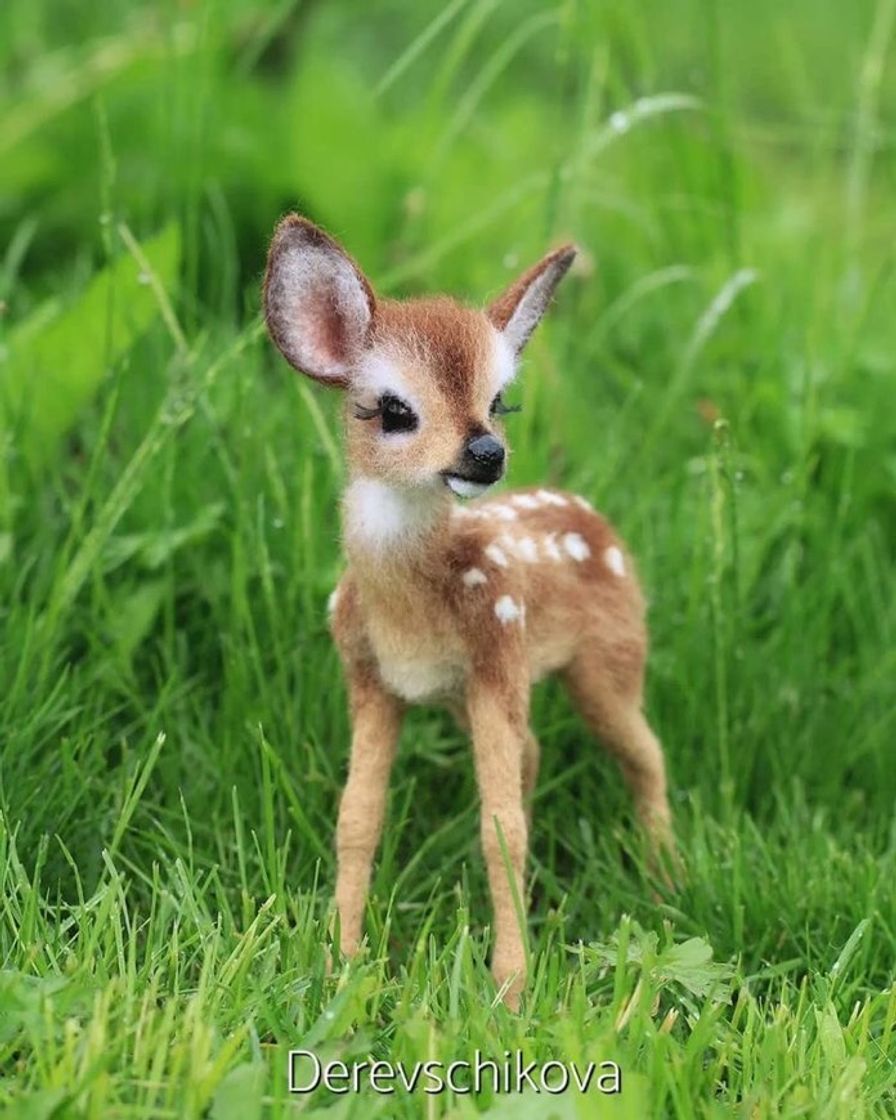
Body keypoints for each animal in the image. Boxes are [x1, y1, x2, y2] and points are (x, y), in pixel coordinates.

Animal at [262, 211, 667, 1008]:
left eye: (499, 400)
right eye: (394, 409)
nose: (486, 452)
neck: (410, 608)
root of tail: (597, 517)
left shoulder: (497, 651)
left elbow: (498, 828)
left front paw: (510, 989)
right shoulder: (371, 677)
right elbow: (357, 817)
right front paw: (340, 962)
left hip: (606, 661)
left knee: (646, 753)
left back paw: (670, 881)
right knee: (537, 751)